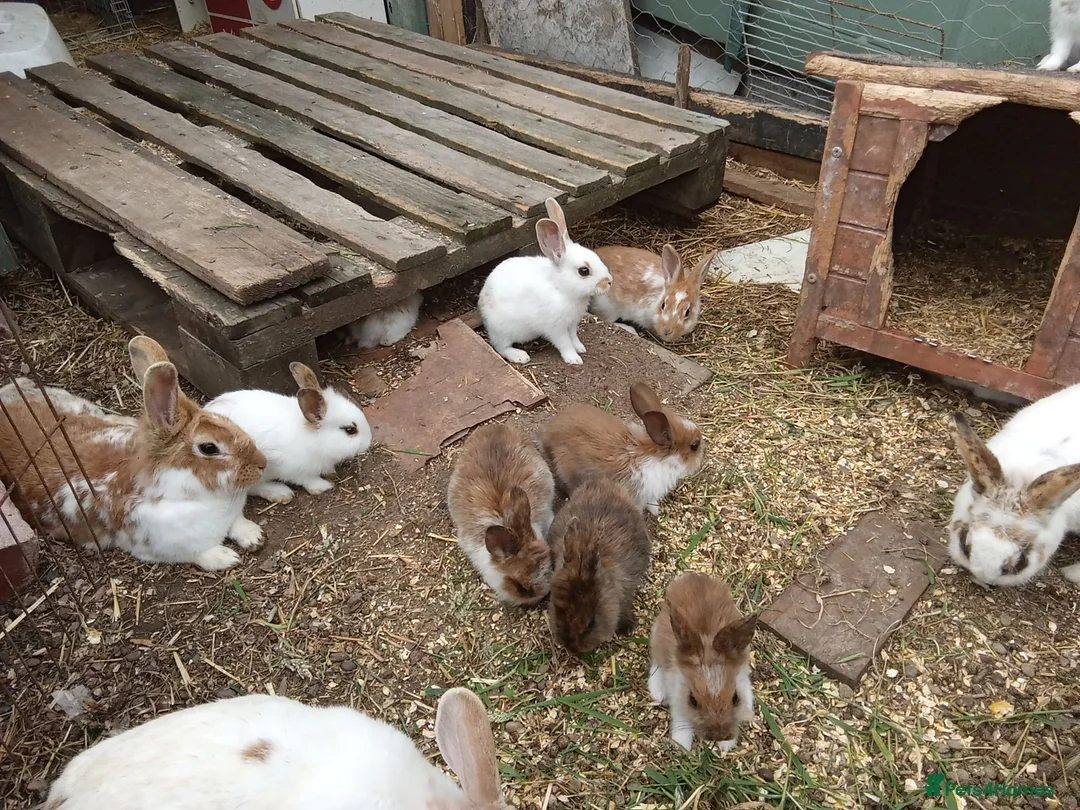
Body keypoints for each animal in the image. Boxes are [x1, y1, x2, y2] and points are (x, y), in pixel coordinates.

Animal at [0, 337, 267, 571]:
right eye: (209, 448)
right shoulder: (158, 547)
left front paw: (253, 536)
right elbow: (198, 553)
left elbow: (237, 522)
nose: (261, 464)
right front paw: (227, 558)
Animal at [204, 362, 371, 504]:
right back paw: (281, 493)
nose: (368, 442)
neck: (314, 439)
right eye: (350, 430)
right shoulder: (291, 467)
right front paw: (323, 486)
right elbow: (306, 479)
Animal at [478, 197, 612, 366]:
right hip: (502, 330)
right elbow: (565, 343)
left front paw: (580, 348)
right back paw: (520, 356)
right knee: (501, 347)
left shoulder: (571, 324)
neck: (561, 289)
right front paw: (573, 358)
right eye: (584, 271)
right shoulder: (556, 327)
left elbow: (573, 337)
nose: (609, 282)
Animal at [648, 571, 757, 751]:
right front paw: (682, 745)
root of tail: (692, 576)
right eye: (692, 700)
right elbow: (681, 719)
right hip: (657, 639)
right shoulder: (678, 699)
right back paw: (658, 693)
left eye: (735, 698)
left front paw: (725, 746)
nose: (718, 735)